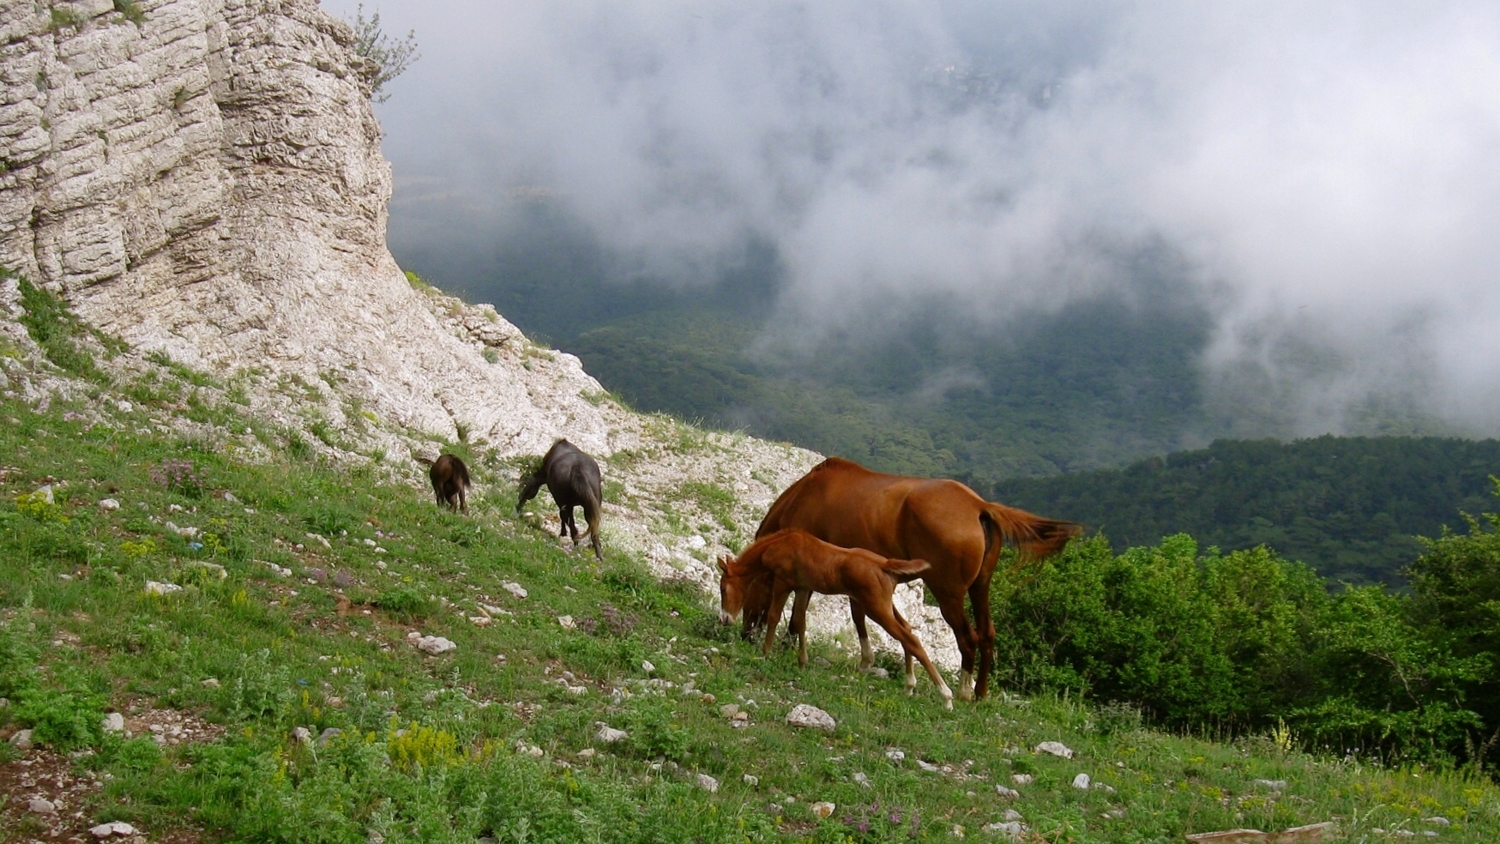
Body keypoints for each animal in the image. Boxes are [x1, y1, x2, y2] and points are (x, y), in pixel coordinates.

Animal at [714, 530, 948, 710]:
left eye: (723, 588)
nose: (724, 618)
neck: (778, 545)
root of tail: (885, 564)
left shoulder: (783, 582)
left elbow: (774, 616)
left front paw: (765, 652)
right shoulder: (802, 587)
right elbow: (799, 621)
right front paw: (802, 661)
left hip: (876, 608)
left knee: (911, 640)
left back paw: (945, 696)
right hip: (885, 606)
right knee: (907, 630)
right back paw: (909, 686)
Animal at [762, 458, 1080, 704]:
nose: (749, 633)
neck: (805, 496)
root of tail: (979, 506)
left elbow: (807, 614)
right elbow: (863, 617)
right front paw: (871, 663)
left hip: (948, 594)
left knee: (968, 638)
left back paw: (962, 692)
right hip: (981, 587)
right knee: (987, 633)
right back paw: (980, 692)